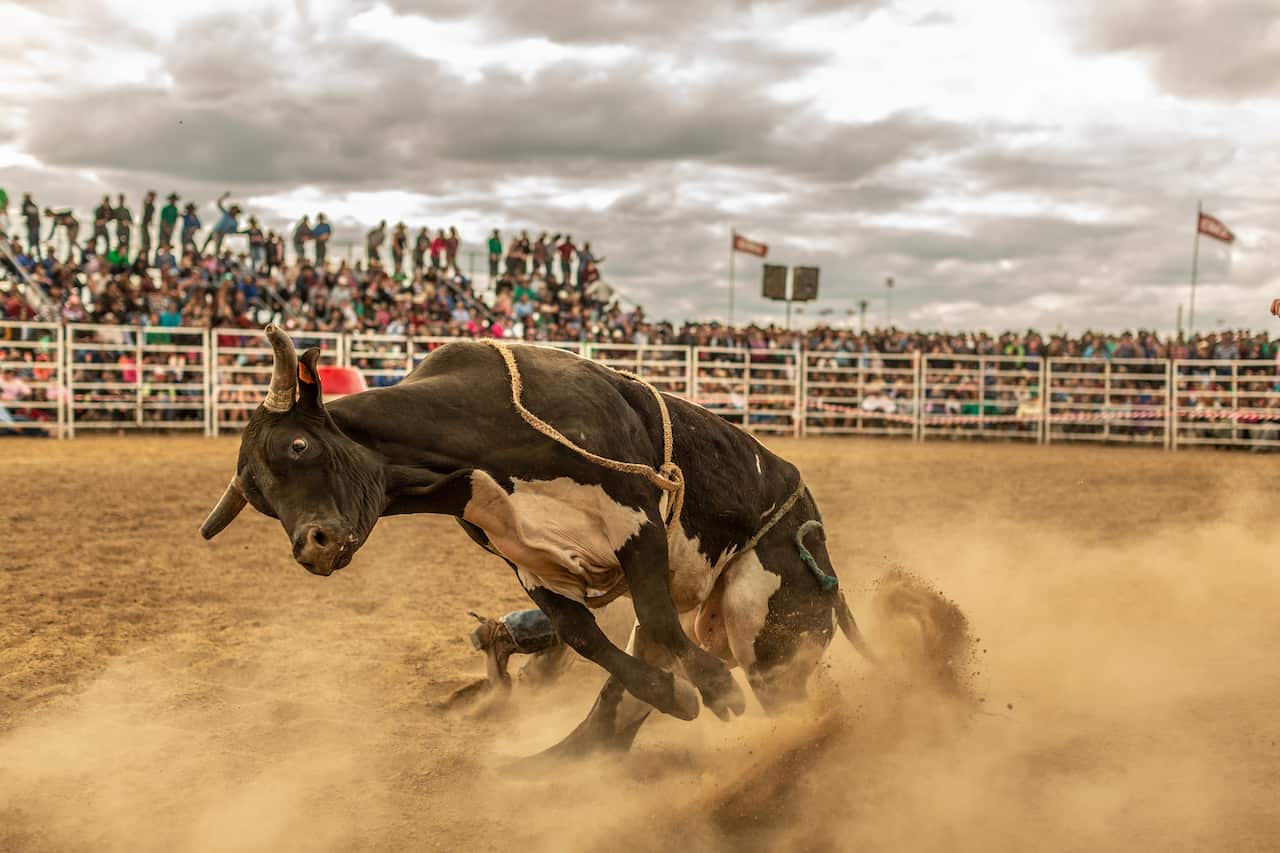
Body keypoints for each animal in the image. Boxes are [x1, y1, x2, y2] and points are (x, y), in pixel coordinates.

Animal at [200, 325, 869, 756]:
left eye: (298, 446)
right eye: (261, 500)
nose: (311, 544)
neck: (479, 444)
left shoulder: (637, 521)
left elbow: (654, 616)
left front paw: (715, 687)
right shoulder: (532, 566)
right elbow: (588, 640)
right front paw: (680, 695)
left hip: (771, 625)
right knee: (613, 712)